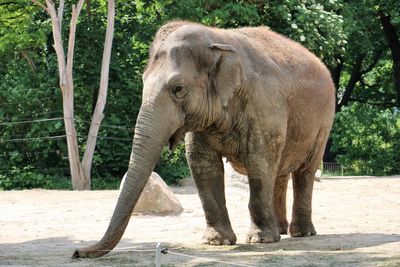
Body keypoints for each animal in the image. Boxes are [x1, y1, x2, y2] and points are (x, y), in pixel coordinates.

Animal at [73, 21, 336, 260]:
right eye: (143, 81)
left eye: (178, 88)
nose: (77, 252)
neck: (217, 38)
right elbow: (202, 165)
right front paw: (217, 242)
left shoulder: (266, 106)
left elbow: (259, 163)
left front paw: (260, 240)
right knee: (280, 172)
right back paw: (281, 231)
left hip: (324, 120)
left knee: (304, 171)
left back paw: (301, 233)